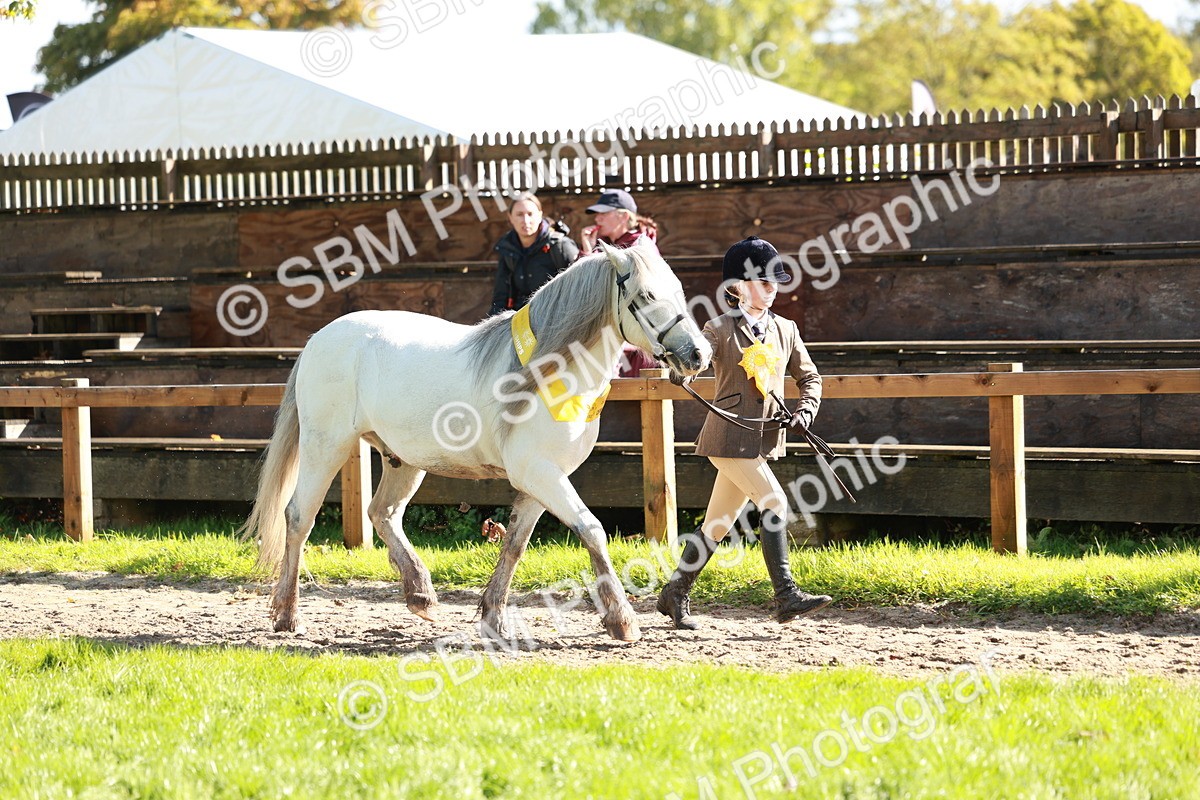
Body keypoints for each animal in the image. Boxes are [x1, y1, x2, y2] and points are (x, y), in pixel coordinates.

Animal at [240, 242, 712, 643]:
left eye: (678, 290)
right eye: (647, 295)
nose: (698, 355)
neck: (549, 375)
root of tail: (318, 340)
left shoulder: (542, 481)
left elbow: (515, 544)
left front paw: (493, 618)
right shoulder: (540, 474)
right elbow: (591, 530)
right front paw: (621, 620)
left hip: (403, 459)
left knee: (383, 513)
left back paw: (421, 595)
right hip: (326, 447)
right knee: (299, 517)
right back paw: (288, 616)